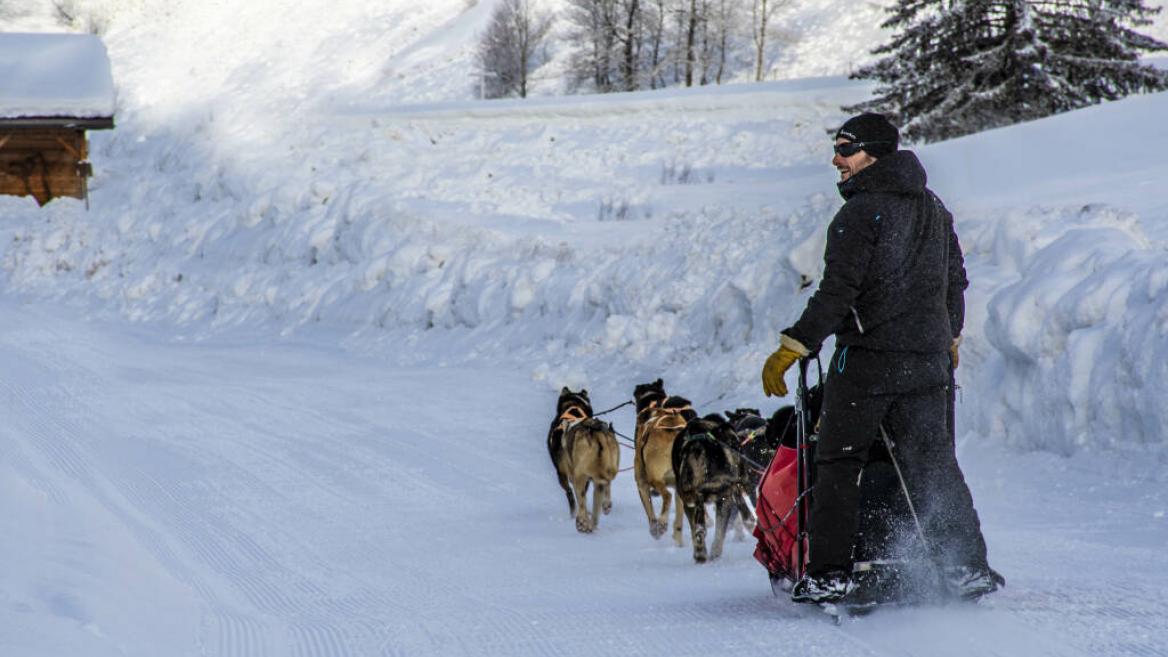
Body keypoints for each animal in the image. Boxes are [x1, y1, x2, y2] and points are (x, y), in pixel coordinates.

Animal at [630, 392, 691, 542]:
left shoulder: (642, 484)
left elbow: (650, 512)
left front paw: (654, 528)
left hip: (653, 479)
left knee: (667, 496)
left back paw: (662, 523)